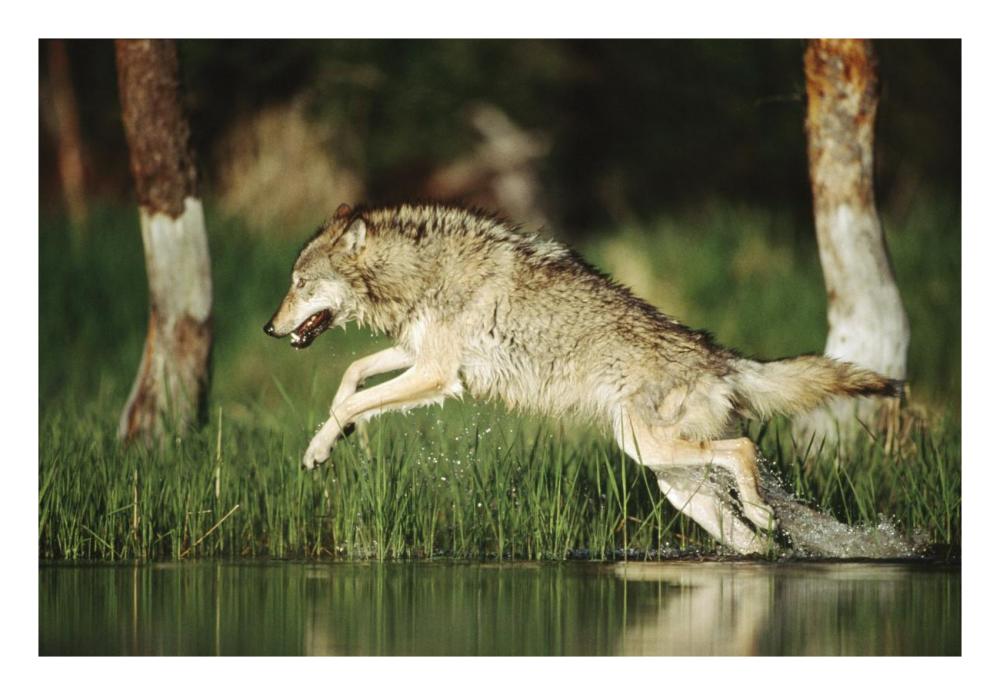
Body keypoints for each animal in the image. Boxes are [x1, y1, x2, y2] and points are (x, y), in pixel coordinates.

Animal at [264, 203, 902, 554]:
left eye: (299, 283)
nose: (270, 328)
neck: (421, 272)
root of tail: (720, 359)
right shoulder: (419, 357)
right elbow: (352, 376)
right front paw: (328, 441)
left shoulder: (438, 375)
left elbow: (351, 401)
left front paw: (327, 441)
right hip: (672, 479)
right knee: (751, 538)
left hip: (650, 449)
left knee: (744, 450)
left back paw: (763, 508)